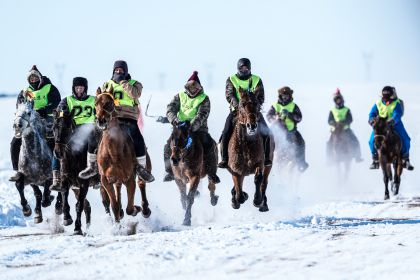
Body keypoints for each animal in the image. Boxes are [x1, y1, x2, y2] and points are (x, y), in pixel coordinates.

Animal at [94, 86, 151, 223]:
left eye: (109, 103)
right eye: (95, 103)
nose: (101, 121)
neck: (113, 152)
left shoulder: (129, 179)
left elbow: (130, 208)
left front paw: (136, 209)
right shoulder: (106, 180)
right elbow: (114, 205)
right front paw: (118, 222)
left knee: (141, 182)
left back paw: (145, 209)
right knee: (118, 189)